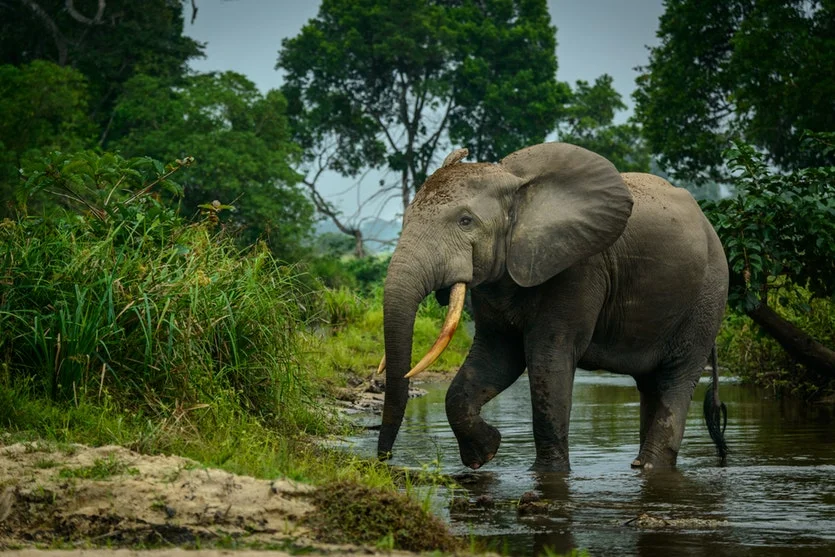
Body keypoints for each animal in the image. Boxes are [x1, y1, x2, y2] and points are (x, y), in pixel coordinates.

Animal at [376, 141, 728, 472]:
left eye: (466, 221)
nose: (383, 461)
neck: (513, 182)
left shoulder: (578, 266)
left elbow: (549, 357)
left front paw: (547, 473)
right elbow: (496, 357)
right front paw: (485, 452)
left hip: (707, 297)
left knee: (675, 378)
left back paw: (651, 466)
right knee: (651, 384)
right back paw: (640, 466)